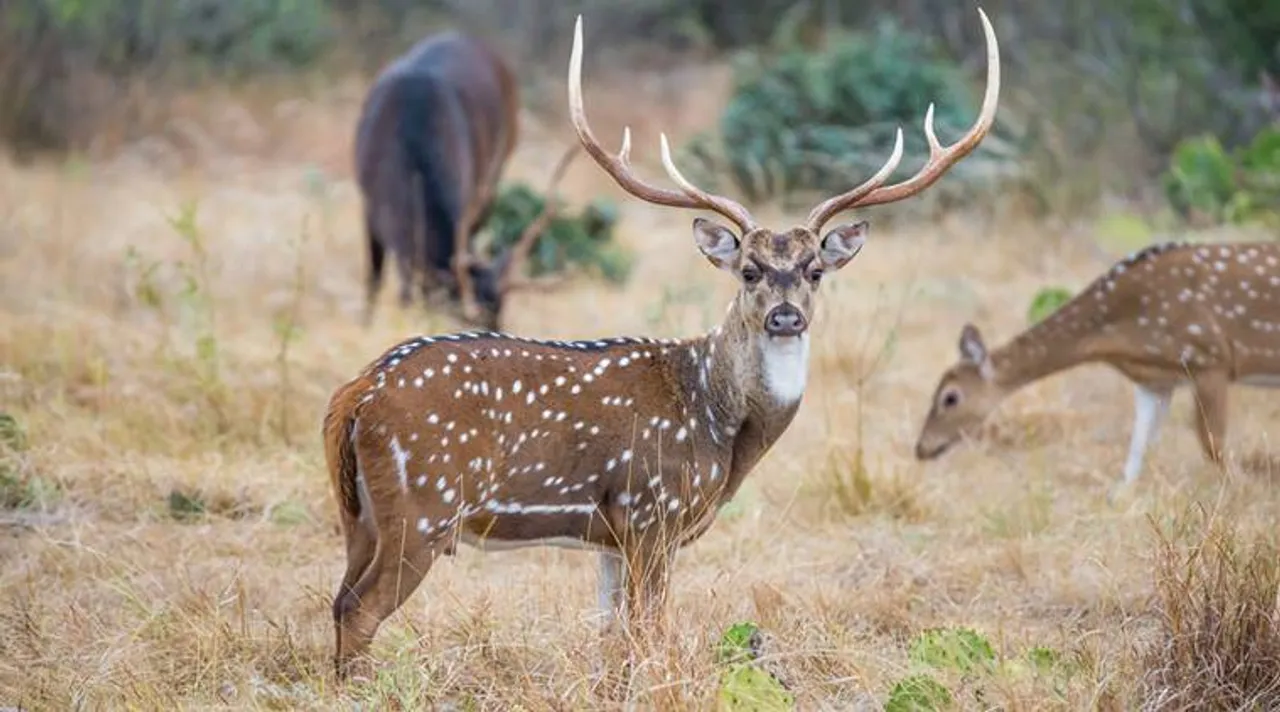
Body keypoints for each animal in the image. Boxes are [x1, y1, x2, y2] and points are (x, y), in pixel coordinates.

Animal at [325, 12, 1003, 676]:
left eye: (814, 269)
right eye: (749, 269)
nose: (785, 317)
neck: (719, 422)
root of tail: (356, 395)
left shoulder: (609, 533)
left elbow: (610, 635)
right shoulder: (654, 511)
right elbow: (648, 631)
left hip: (359, 514)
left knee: (338, 600)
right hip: (425, 504)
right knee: (360, 609)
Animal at [916, 242, 1280, 491]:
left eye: (950, 397)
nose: (921, 448)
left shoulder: (1210, 357)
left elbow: (1212, 444)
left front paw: (1245, 490)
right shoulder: (1154, 380)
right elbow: (1137, 454)